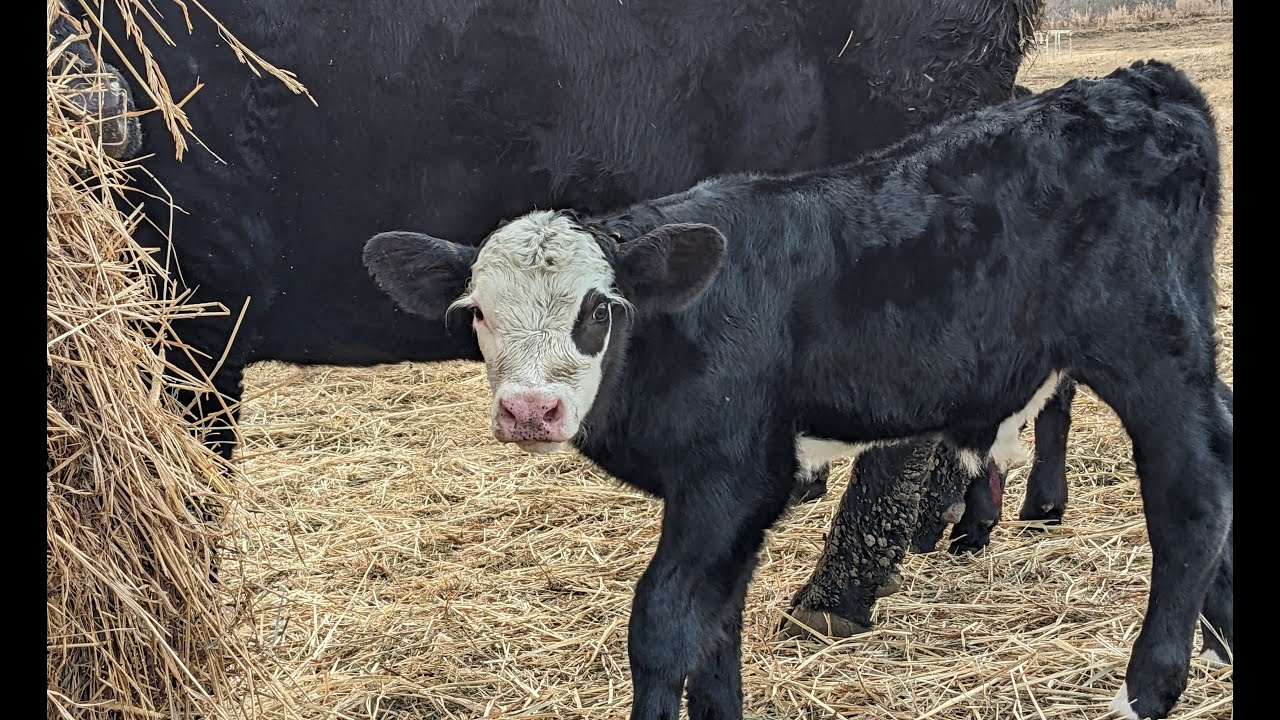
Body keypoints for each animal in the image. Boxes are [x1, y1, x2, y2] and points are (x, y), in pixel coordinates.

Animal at [362, 60, 1232, 720]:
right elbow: (717, 632)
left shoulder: (731, 477)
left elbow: (663, 626)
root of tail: (1138, 84)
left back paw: (1148, 689)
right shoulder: (736, 505)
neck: (677, 326)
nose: (529, 410)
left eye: (598, 310)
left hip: (1147, 347)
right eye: (477, 311)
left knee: (1194, 494)